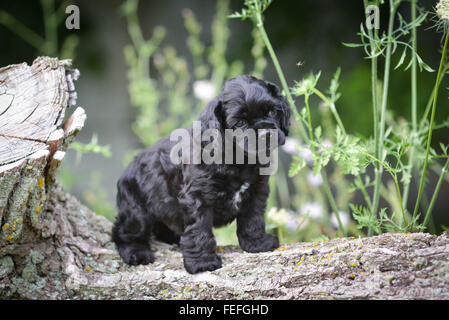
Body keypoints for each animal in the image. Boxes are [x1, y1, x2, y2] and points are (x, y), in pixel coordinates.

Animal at [112, 74, 290, 272]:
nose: (266, 133)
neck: (237, 158)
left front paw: (257, 243)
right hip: (136, 211)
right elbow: (199, 230)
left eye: (272, 111)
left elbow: (252, 219)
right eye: (240, 123)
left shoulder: (256, 191)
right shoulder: (198, 197)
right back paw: (137, 253)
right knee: (124, 232)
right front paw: (202, 262)